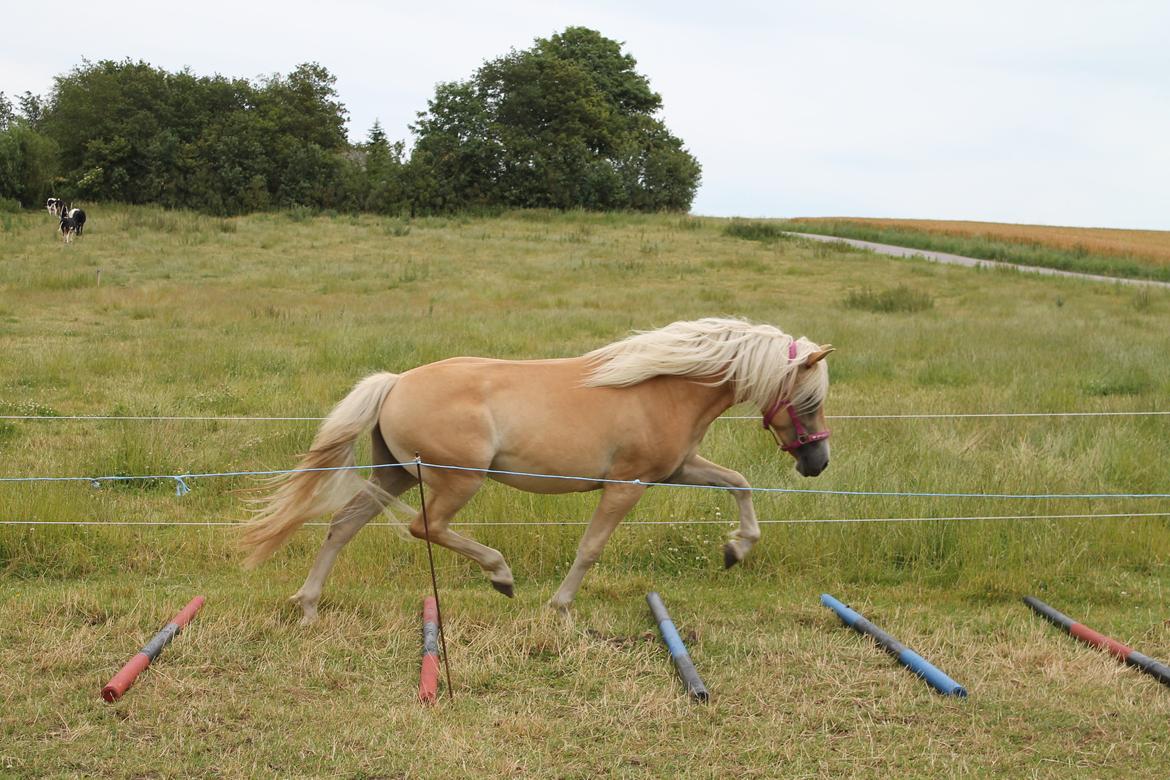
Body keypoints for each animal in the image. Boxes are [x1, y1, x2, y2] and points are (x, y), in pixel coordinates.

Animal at [242, 318, 833, 622]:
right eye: (809, 400)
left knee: (342, 525)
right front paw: (560, 606)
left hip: (394, 474)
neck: (663, 387)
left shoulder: (677, 470)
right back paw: (500, 575)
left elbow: (740, 484)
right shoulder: (628, 485)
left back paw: (308, 605)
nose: (817, 463)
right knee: (425, 527)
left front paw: (735, 549)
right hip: (456, 480)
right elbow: (591, 548)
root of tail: (396, 382)